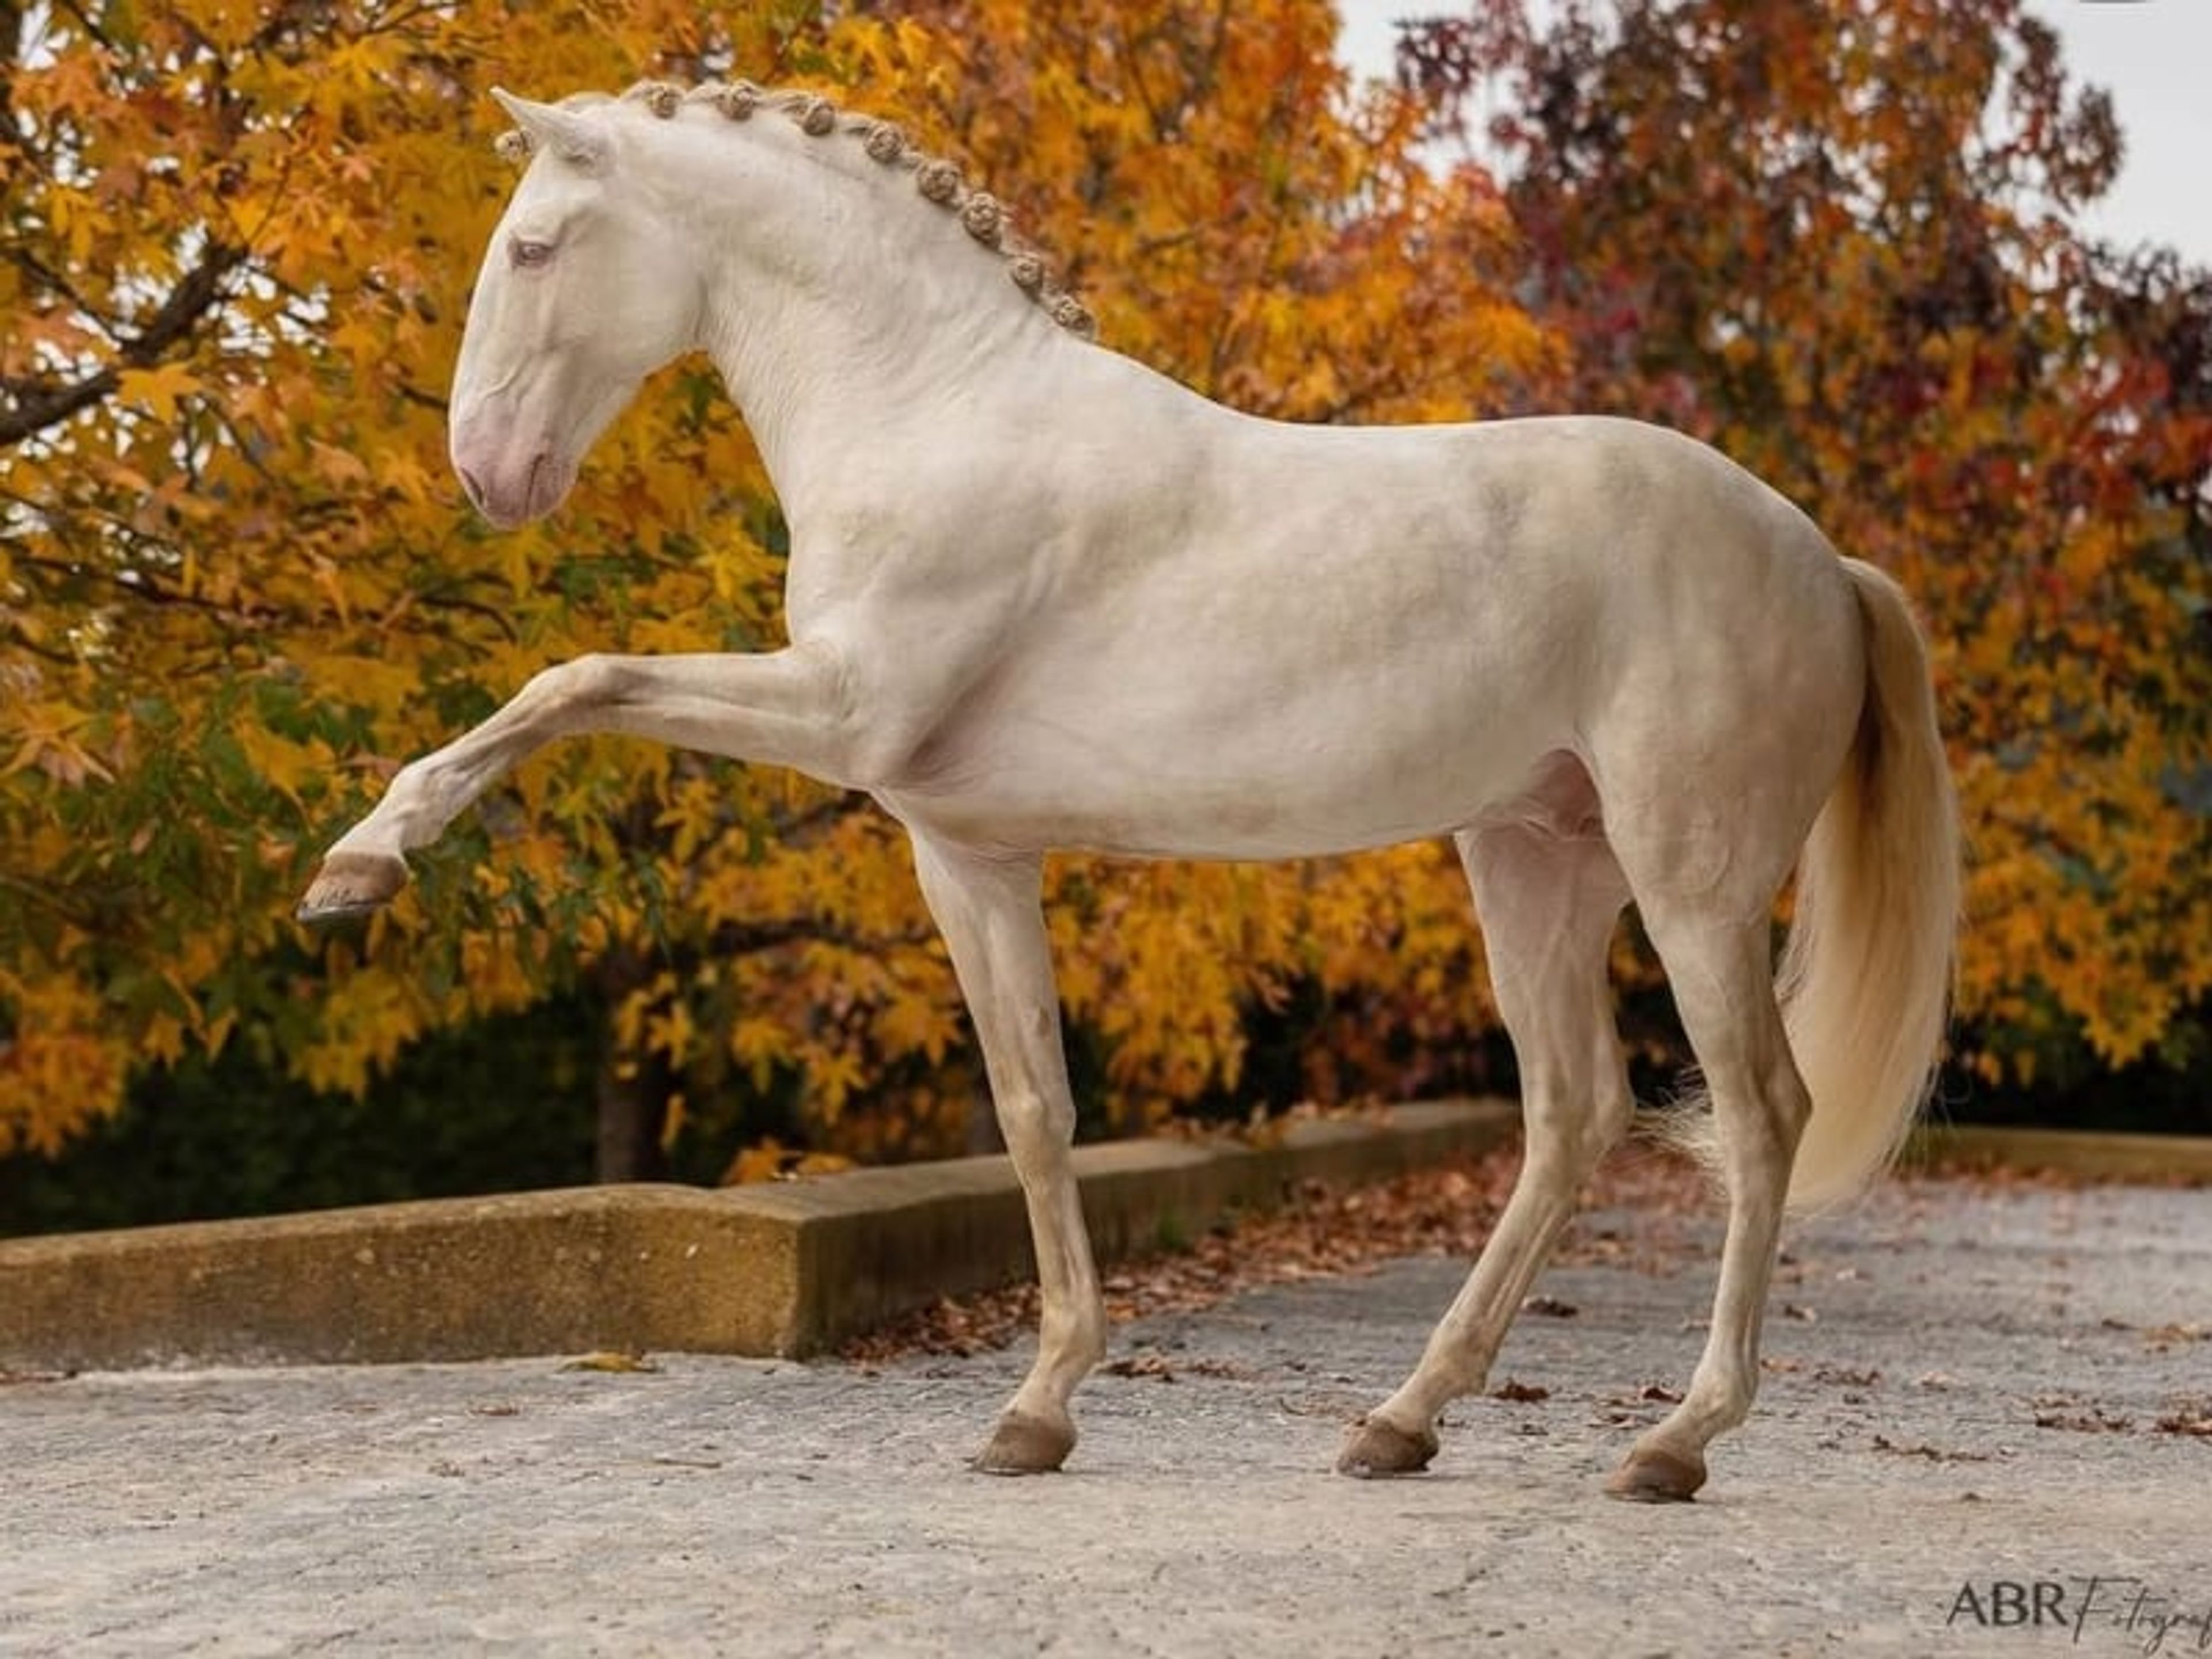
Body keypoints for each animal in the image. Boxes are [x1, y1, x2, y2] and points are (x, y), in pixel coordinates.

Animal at [300, 80, 1959, 1501]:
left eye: (532, 244)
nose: (488, 474)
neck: (932, 406)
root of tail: (1824, 559)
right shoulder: (965, 853)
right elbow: (1035, 1109)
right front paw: (1038, 1412)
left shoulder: (842, 711)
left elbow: (574, 679)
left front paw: (358, 867)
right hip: (1533, 863)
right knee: (1571, 1113)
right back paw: (1400, 1422)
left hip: (1693, 885)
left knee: (1759, 1114)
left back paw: (1673, 1443)